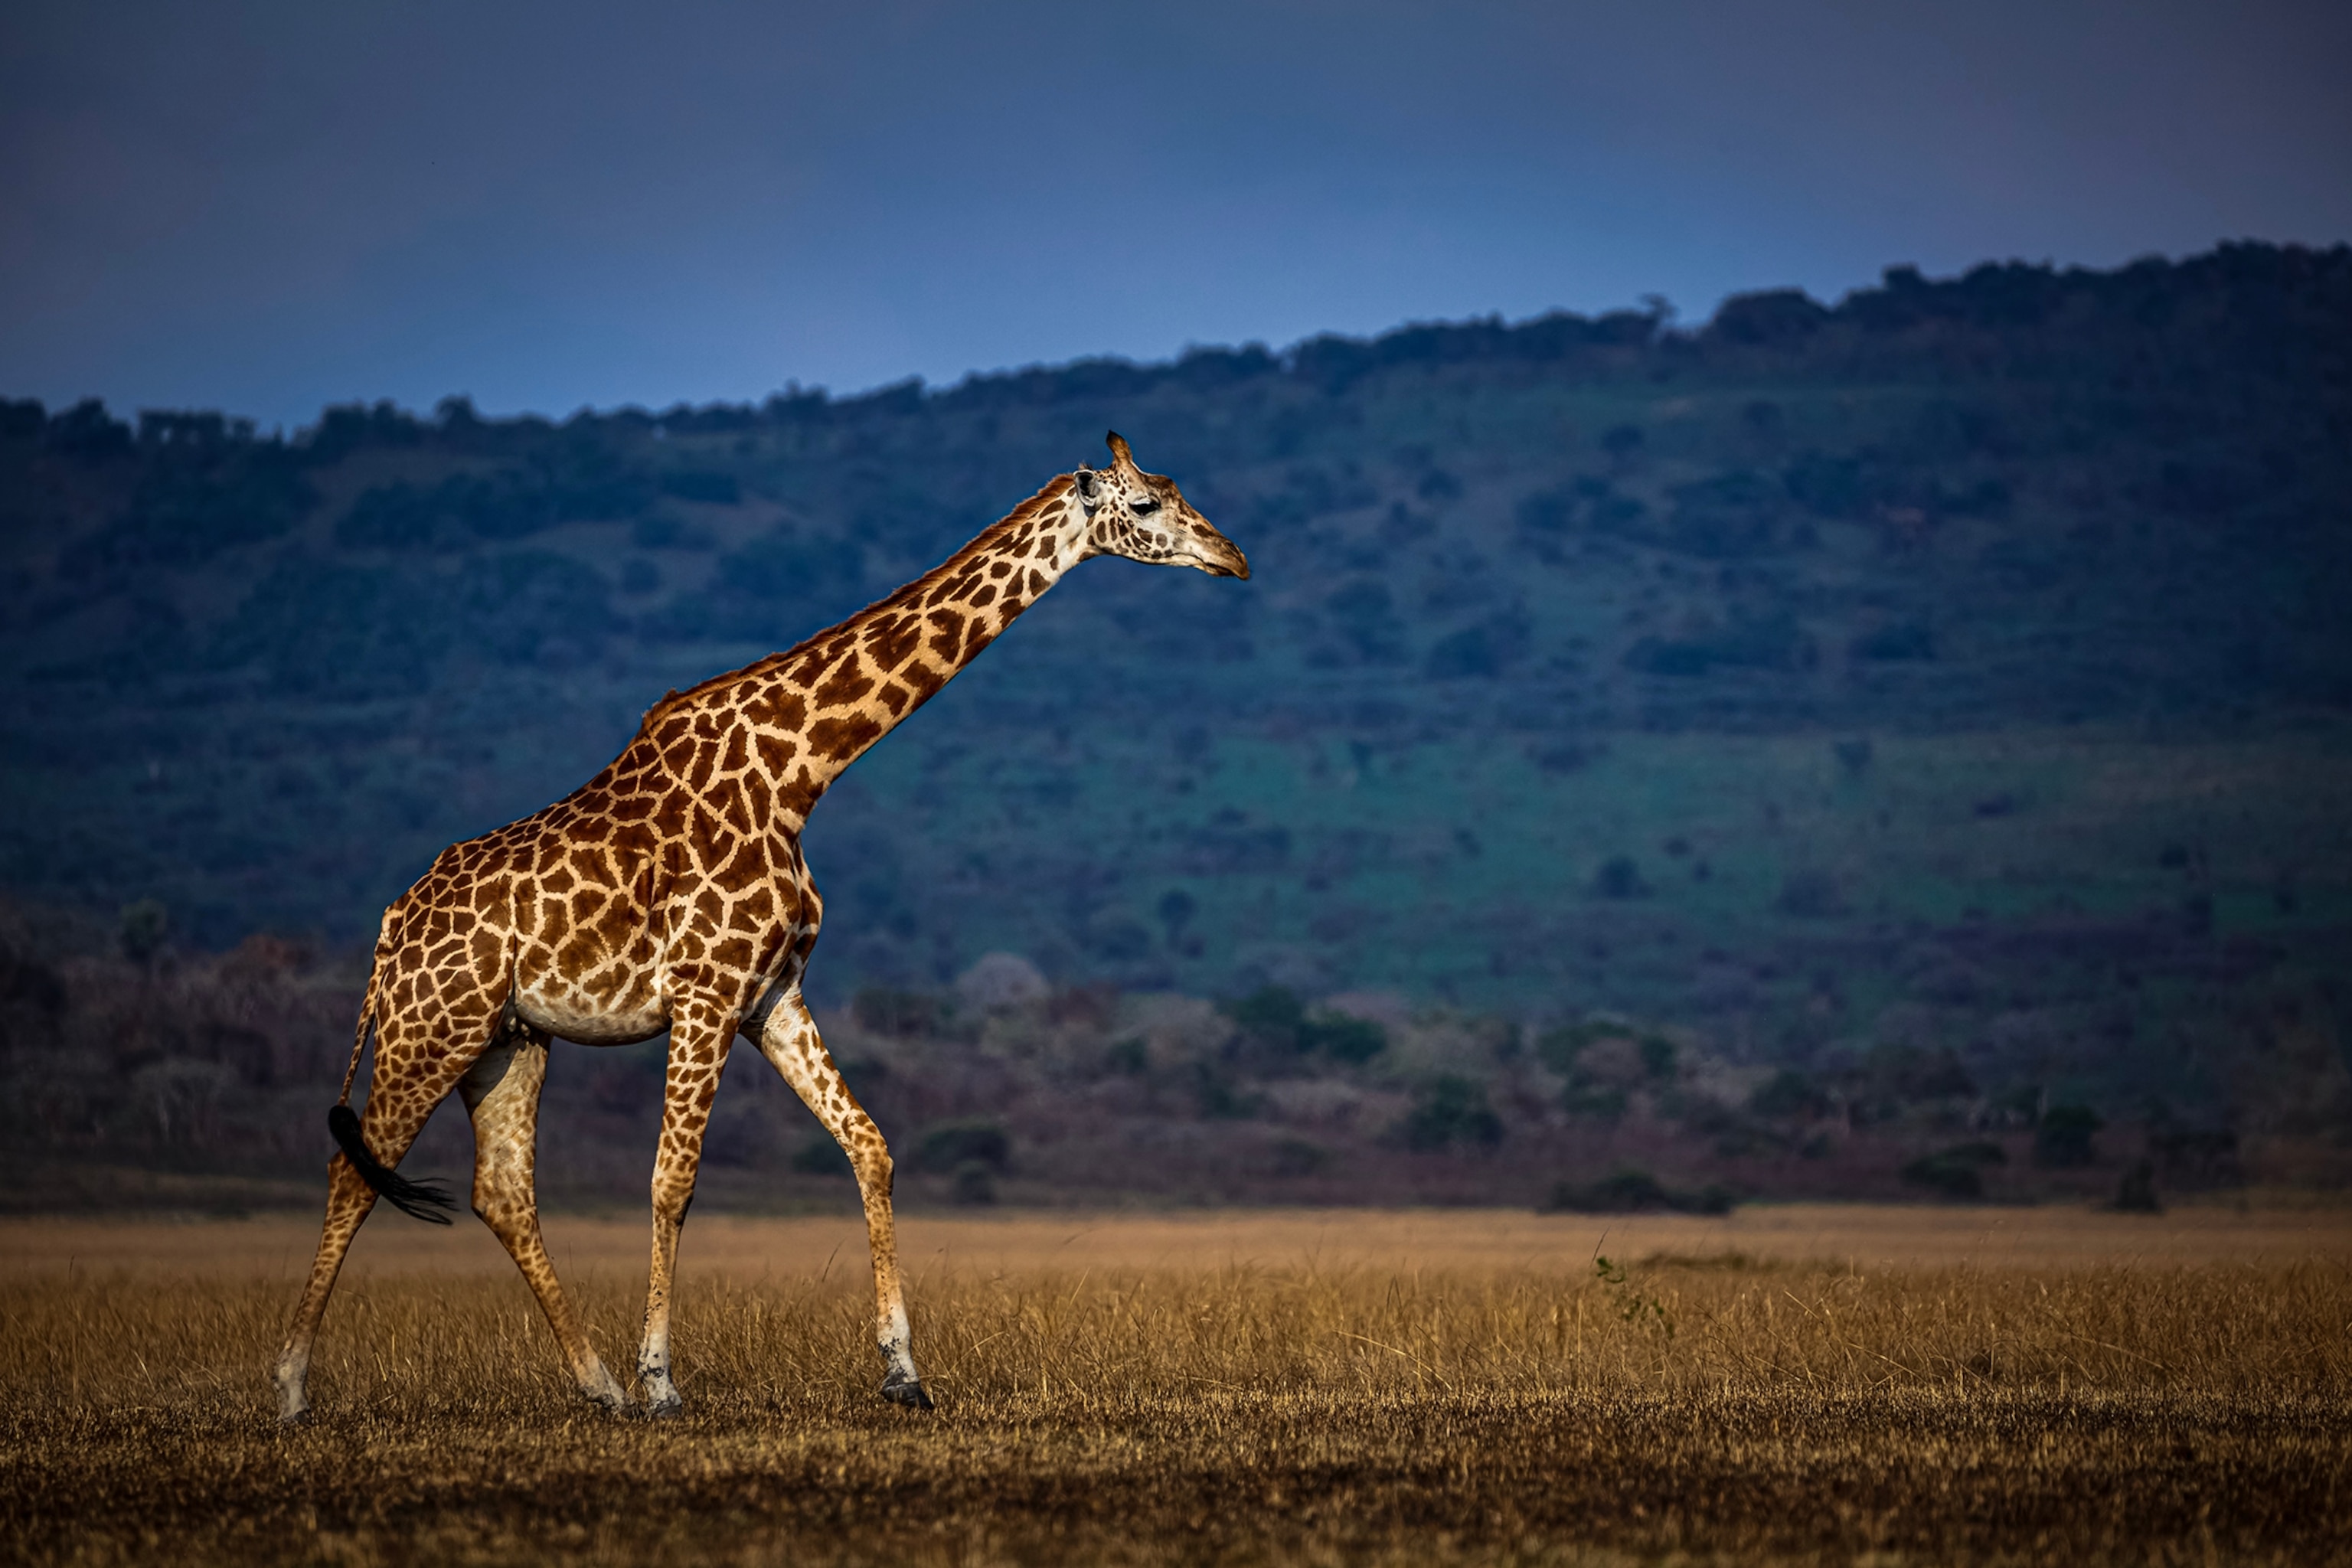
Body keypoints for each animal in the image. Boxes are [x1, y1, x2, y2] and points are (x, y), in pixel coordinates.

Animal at [272, 433, 1248, 1422]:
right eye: (1149, 505)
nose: (1232, 558)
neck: (799, 769)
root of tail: (391, 927)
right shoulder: (705, 990)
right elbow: (672, 1180)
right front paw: (663, 1381)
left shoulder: (771, 992)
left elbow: (870, 1145)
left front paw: (903, 1371)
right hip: (433, 1024)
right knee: (354, 1170)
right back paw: (293, 1388)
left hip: (508, 1038)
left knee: (502, 1193)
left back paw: (597, 1385)